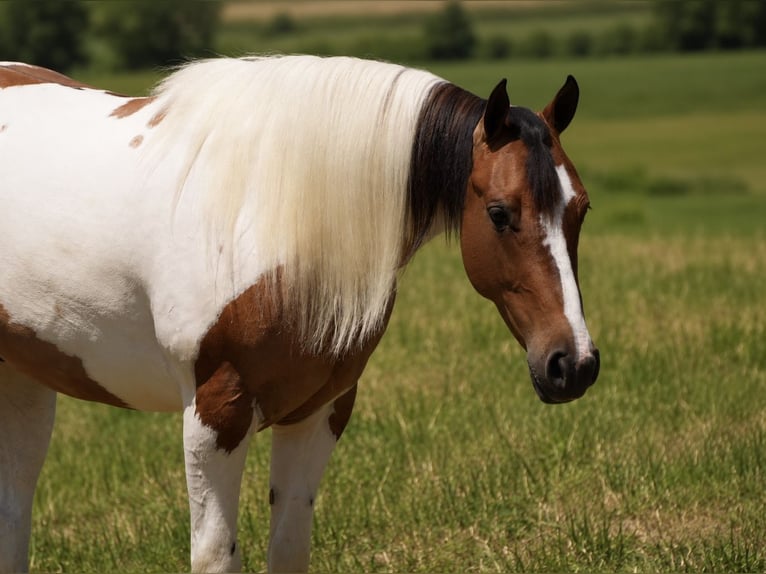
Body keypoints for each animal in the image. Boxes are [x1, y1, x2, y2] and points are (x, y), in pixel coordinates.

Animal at [0, 55, 599, 573]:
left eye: (581, 207)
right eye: (499, 213)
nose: (574, 364)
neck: (268, 217)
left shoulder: (319, 411)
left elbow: (288, 551)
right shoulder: (215, 414)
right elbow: (216, 556)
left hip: (25, 384)